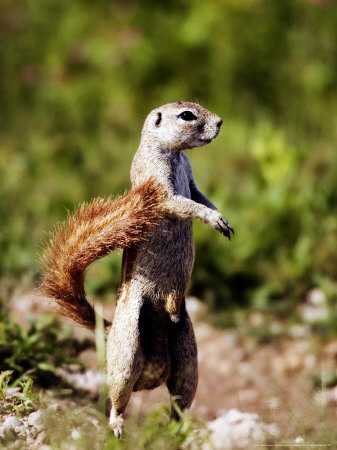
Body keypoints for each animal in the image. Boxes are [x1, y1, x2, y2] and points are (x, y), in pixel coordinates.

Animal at [39, 101, 232, 436]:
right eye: (187, 115)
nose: (220, 122)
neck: (174, 154)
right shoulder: (158, 185)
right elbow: (183, 203)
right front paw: (211, 218)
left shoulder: (191, 177)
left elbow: (199, 195)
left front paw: (222, 218)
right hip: (129, 347)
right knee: (118, 394)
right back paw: (117, 424)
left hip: (188, 356)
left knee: (179, 399)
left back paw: (180, 430)